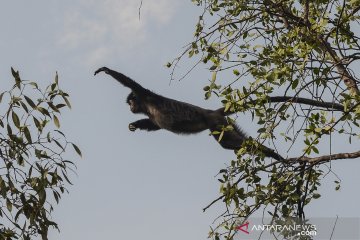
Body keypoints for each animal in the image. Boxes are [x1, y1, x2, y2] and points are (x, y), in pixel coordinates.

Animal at [93, 67, 284, 161]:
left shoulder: (146, 95)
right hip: (223, 122)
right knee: (233, 142)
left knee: (228, 142)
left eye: (131, 102)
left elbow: (132, 83)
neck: (146, 107)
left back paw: (275, 155)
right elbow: (155, 125)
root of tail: (211, 111)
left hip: (215, 122)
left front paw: (106, 70)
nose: (130, 108)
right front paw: (134, 125)